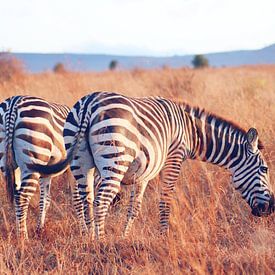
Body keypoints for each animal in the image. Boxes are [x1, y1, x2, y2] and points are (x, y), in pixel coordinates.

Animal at [0, 96, 71, 240]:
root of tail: (13, 104)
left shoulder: (46, 173)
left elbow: (45, 200)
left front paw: (40, 229)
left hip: (7, 163)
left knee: (16, 194)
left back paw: (19, 230)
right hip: (31, 163)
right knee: (21, 197)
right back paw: (23, 237)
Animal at [31, 92, 274, 239]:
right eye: (265, 169)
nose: (270, 208)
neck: (190, 131)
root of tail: (88, 105)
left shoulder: (143, 173)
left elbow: (134, 207)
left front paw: (125, 236)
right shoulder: (174, 156)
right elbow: (165, 200)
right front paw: (164, 236)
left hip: (80, 160)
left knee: (84, 199)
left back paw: (88, 237)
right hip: (114, 160)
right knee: (101, 200)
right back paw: (100, 241)